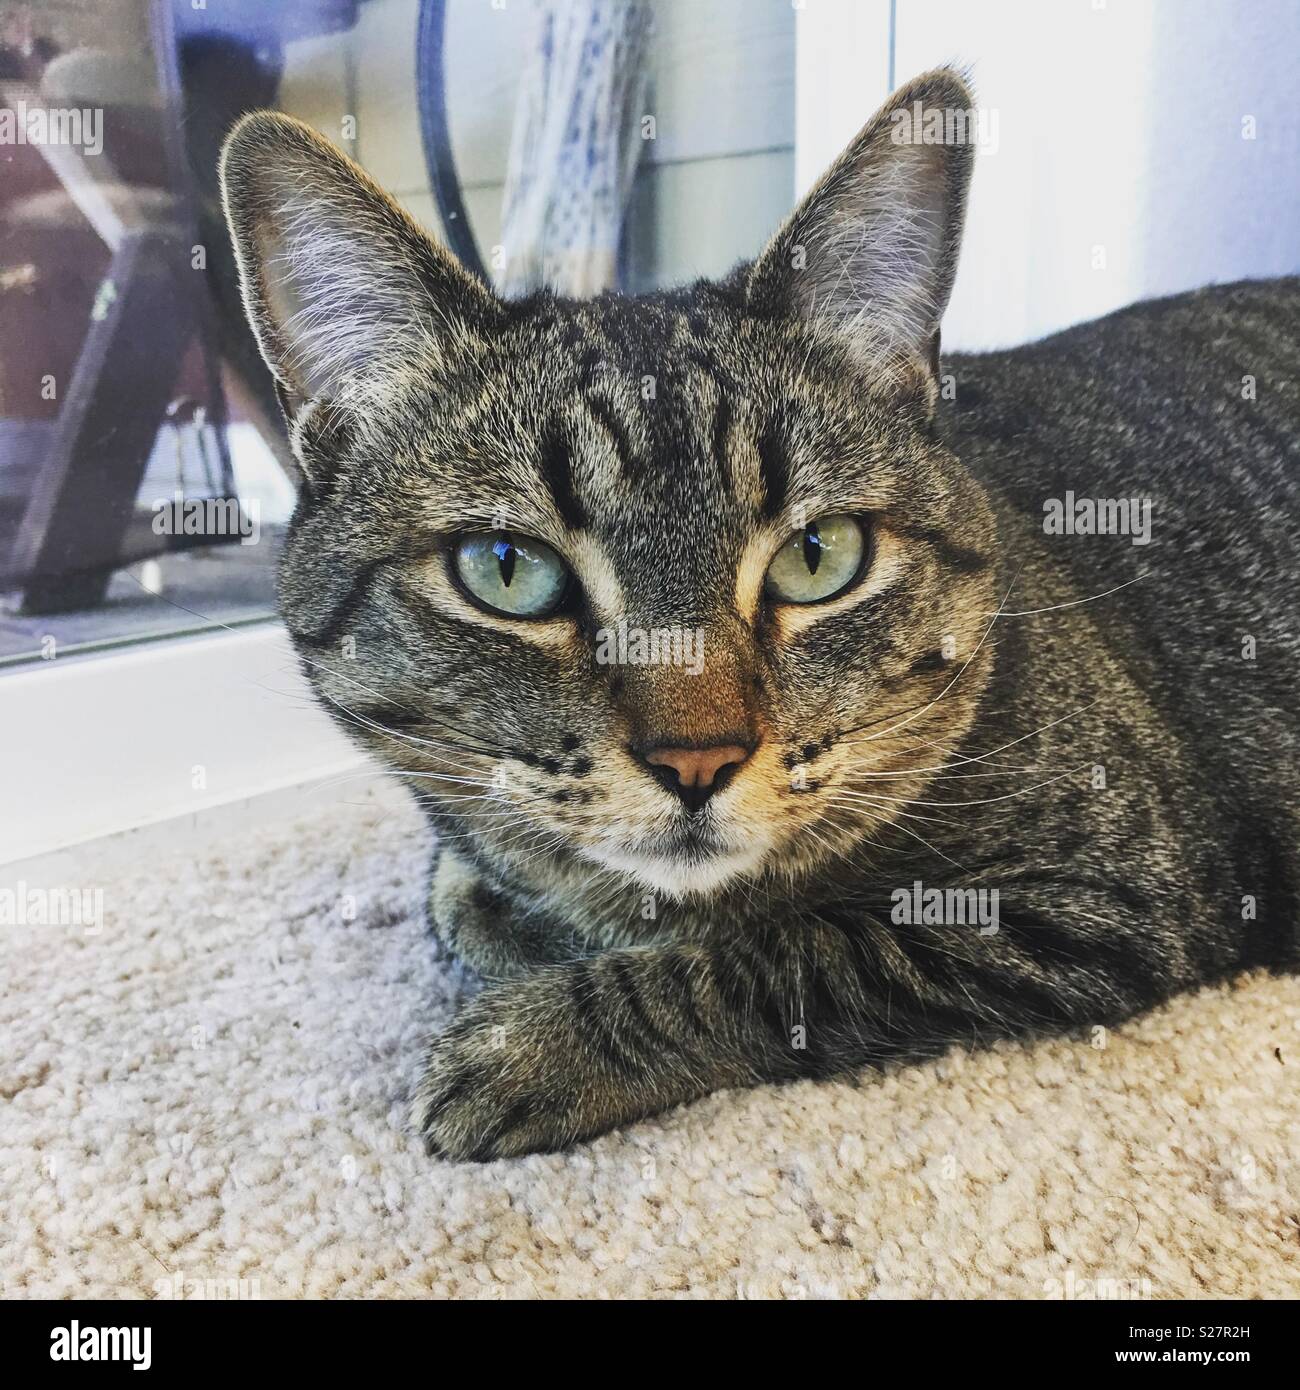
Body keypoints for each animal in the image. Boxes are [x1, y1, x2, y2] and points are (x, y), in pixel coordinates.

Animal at [218, 70, 1295, 1156]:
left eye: (817, 557)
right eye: (508, 569)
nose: (697, 761)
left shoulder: (1097, 895)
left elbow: (780, 950)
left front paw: (533, 1040)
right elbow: (463, 892)